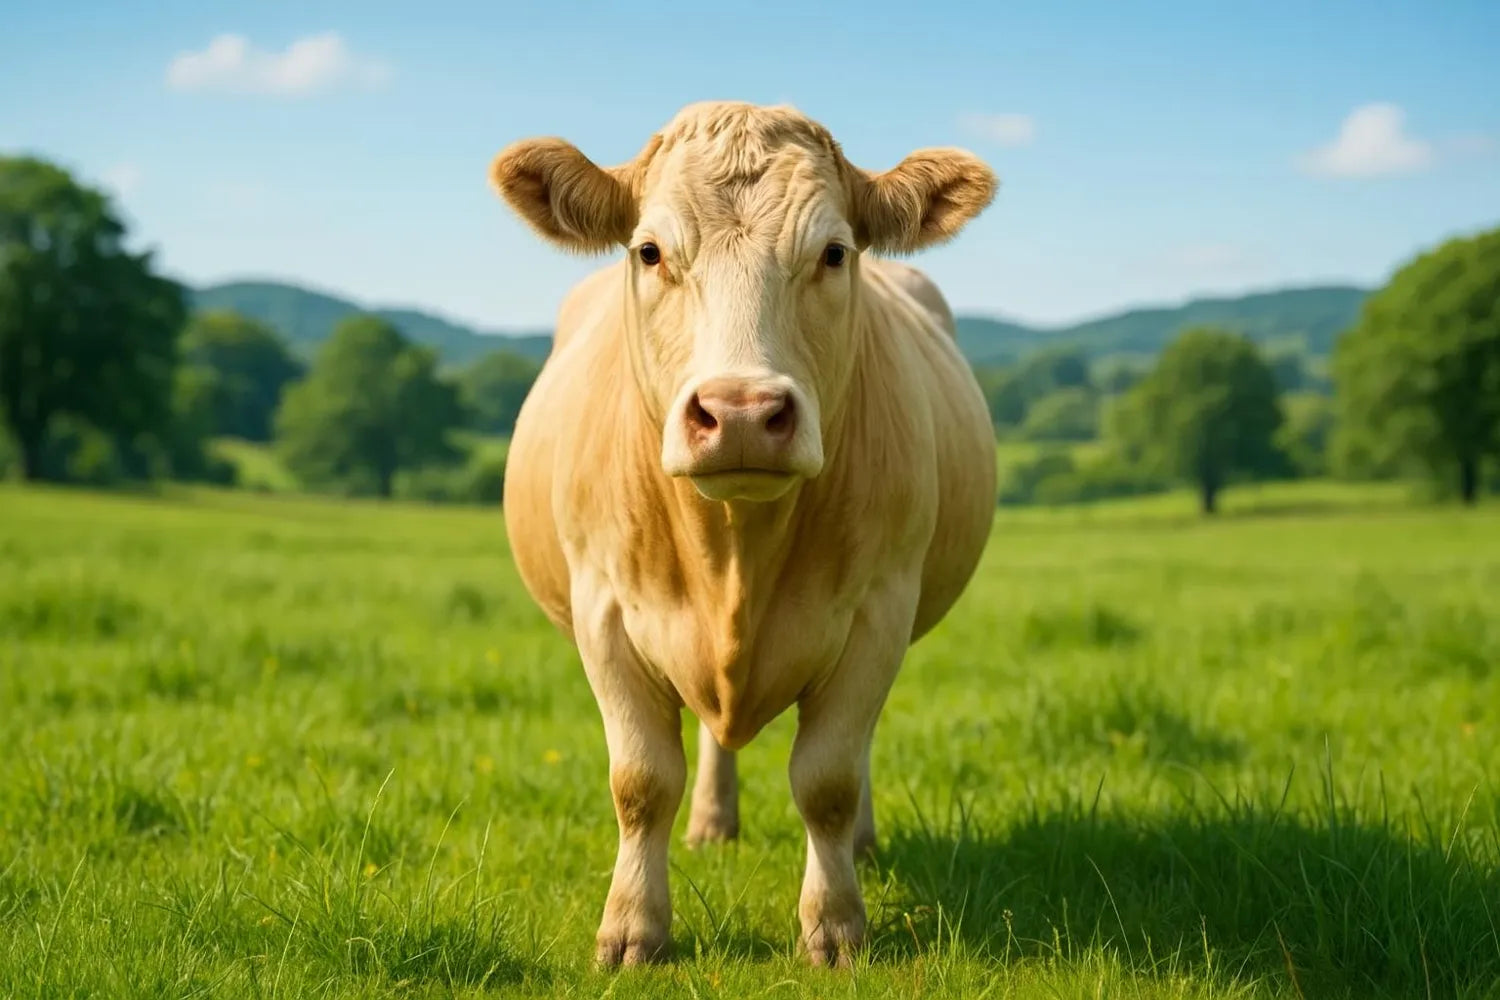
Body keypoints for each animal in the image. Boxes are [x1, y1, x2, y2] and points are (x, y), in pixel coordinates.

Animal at [488, 101, 998, 968]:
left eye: (833, 252)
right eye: (650, 252)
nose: (740, 413)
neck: (734, 549)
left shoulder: (880, 610)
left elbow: (827, 779)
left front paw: (836, 926)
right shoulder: (603, 610)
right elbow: (640, 780)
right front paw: (633, 928)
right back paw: (712, 824)